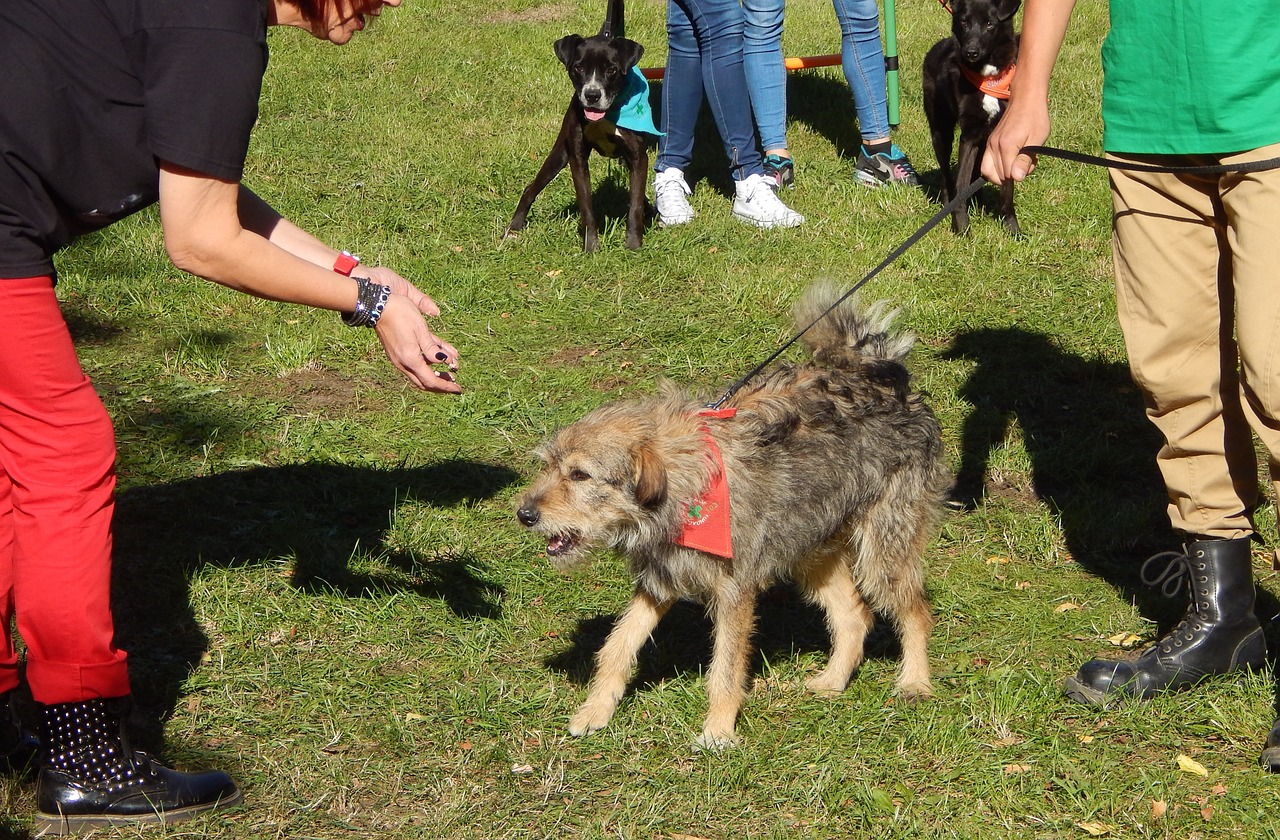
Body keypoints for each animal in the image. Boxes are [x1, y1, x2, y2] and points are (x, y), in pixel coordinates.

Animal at [512, 286, 952, 747]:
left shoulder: (734, 592)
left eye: (580, 474)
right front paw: (596, 710)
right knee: (854, 616)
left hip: (884, 551)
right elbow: (618, 644)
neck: (684, 483)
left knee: (916, 612)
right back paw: (833, 681)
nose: (524, 514)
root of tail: (884, 380)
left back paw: (915, 682)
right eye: (548, 467)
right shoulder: (659, 580)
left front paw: (718, 731)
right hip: (809, 547)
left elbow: (724, 668)